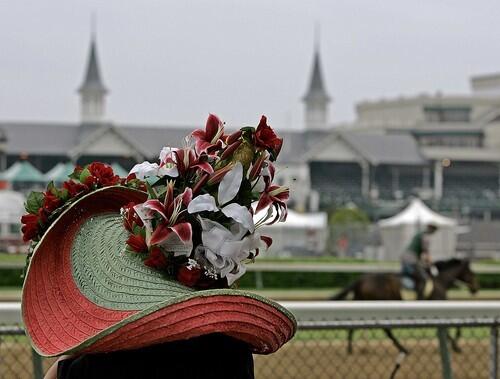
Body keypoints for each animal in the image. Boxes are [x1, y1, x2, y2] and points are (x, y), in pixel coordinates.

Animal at [330, 258, 478, 356]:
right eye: (471, 273)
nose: (476, 288)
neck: (440, 281)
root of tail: (361, 280)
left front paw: (456, 345)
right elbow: (450, 329)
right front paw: (456, 347)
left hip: (361, 302)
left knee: (353, 327)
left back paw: (350, 350)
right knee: (386, 330)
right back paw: (402, 349)